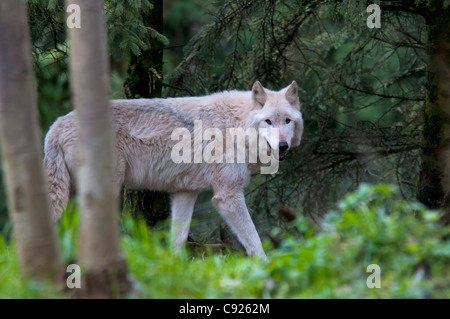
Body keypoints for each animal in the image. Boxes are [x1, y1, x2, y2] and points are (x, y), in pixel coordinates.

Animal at [44, 81, 302, 258]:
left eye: (287, 121)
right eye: (268, 122)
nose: (282, 146)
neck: (235, 126)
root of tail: (56, 124)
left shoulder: (184, 194)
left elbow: (177, 240)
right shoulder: (227, 196)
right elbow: (255, 242)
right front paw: (267, 268)